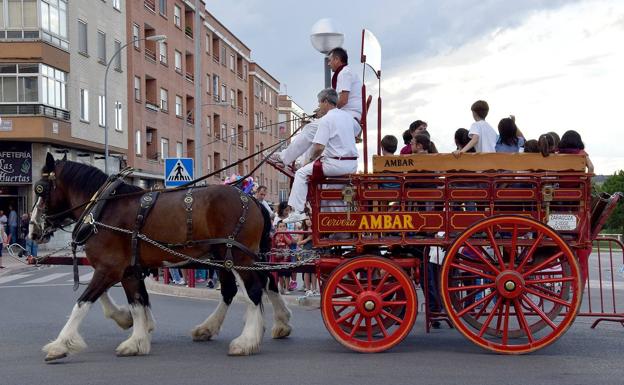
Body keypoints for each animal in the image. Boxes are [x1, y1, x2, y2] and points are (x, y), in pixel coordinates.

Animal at [29, 153, 292, 360]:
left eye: (40, 189)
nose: (32, 229)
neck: (102, 209)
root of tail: (254, 200)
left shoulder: (110, 268)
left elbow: (83, 302)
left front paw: (60, 344)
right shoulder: (127, 269)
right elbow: (137, 301)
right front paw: (136, 336)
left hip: (237, 257)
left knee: (254, 290)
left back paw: (246, 341)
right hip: (226, 257)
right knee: (255, 285)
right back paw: (264, 324)